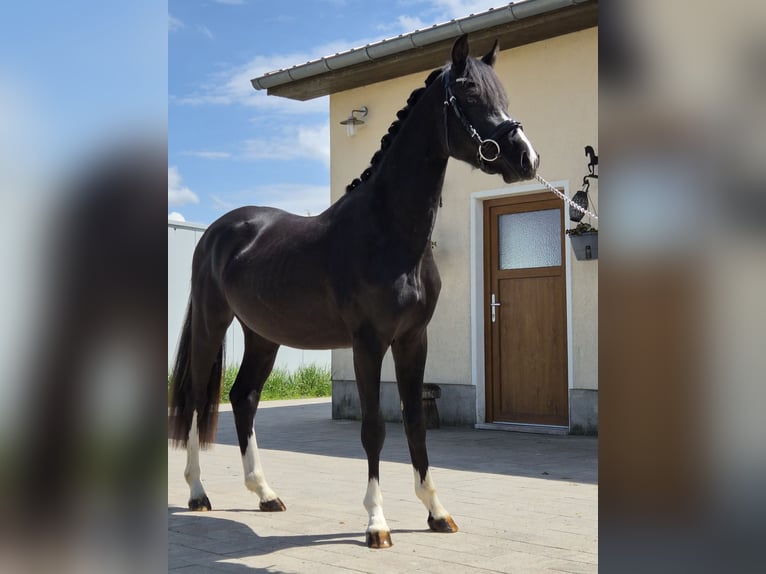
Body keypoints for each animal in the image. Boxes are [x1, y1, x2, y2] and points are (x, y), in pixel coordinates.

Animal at [169, 34, 539, 549]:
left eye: (502, 94)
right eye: (468, 92)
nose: (527, 158)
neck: (387, 233)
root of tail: (216, 232)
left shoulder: (413, 340)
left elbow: (415, 422)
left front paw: (436, 512)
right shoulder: (368, 342)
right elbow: (374, 428)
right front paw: (376, 523)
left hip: (263, 335)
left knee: (244, 397)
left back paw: (265, 493)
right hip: (211, 323)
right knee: (196, 399)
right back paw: (198, 492)